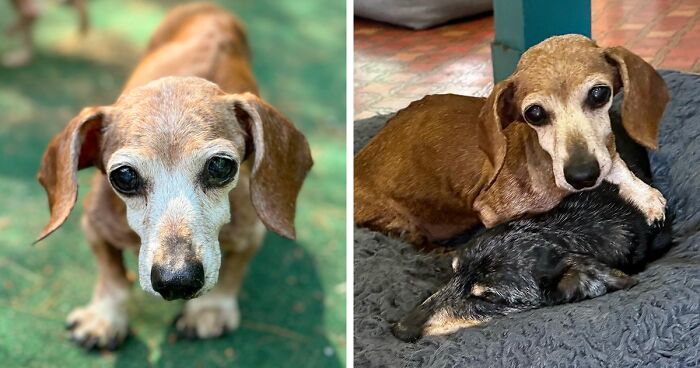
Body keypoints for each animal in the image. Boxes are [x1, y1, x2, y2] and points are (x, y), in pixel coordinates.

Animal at [34, 4, 312, 352]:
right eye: (124, 176)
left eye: (220, 166)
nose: (177, 281)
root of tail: (209, 8)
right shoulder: (94, 225)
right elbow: (112, 276)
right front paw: (104, 317)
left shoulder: (252, 232)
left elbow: (233, 271)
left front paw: (210, 311)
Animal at [356, 34, 668, 247]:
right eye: (534, 113)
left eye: (599, 94)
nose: (582, 175)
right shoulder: (492, 211)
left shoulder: (604, 153)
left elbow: (615, 163)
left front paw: (644, 195)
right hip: (399, 222)